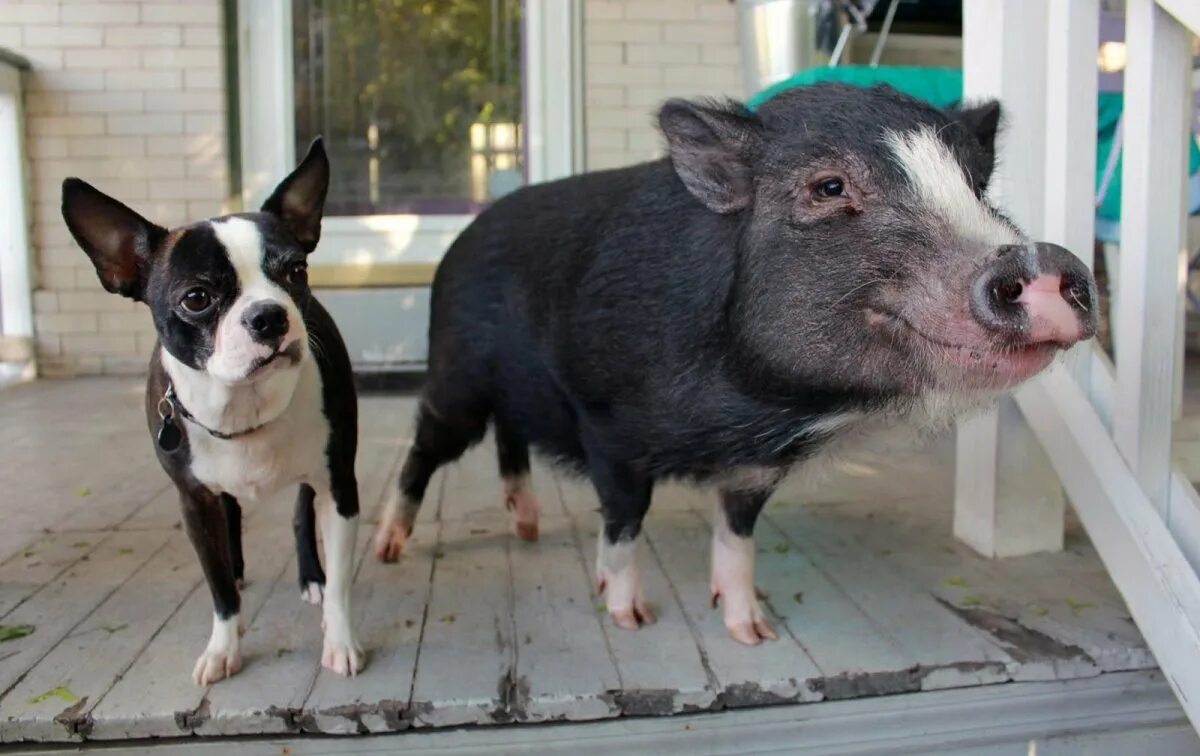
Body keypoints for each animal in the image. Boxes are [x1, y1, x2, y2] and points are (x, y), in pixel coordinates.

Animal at [60, 138, 360, 686]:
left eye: (296, 272)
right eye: (197, 298)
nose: (269, 315)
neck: (244, 403)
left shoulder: (339, 486)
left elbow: (341, 585)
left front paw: (340, 640)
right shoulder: (194, 501)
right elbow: (217, 586)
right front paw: (224, 647)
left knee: (300, 517)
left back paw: (311, 577)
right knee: (233, 517)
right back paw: (238, 572)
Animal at [369, 82, 1094, 648]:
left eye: (978, 187)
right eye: (828, 186)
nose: (1049, 259)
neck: (751, 411)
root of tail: (461, 240)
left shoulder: (754, 469)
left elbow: (737, 538)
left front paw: (753, 633)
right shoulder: (609, 429)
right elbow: (624, 524)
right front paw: (629, 618)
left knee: (510, 440)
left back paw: (526, 529)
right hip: (455, 377)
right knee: (424, 449)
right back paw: (388, 550)